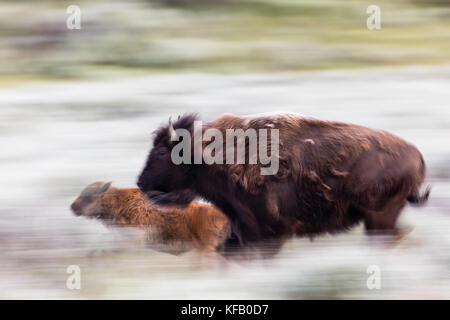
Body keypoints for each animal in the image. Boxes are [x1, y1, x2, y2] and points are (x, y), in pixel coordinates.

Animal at [136, 114, 428, 249]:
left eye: (161, 151)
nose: (140, 183)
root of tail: (416, 154)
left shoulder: (266, 233)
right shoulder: (241, 231)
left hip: (380, 217)